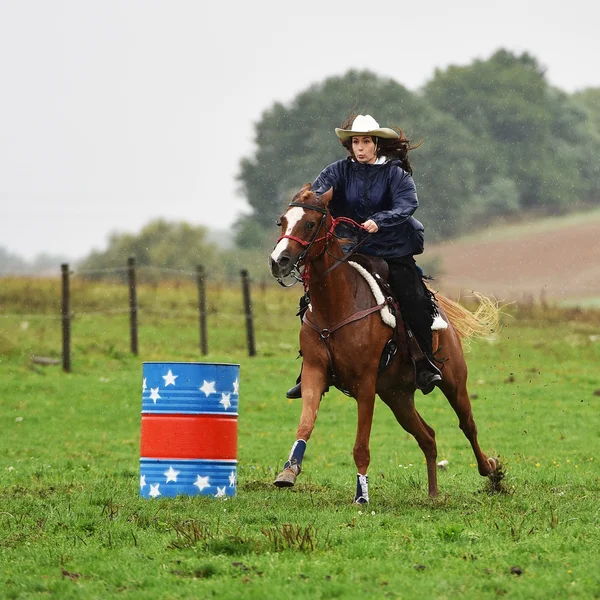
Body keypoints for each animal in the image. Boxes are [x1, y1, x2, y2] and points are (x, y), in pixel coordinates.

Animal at [268, 183, 502, 502]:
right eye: (283, 221)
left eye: (310, 223)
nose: (278, 262)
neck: (337, 305)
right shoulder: (315, 372)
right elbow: (305, 423)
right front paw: (288, 471)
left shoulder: (365, 384)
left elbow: (361, 446)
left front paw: (361, 494)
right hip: (397, 396)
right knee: (428, 437)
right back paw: (433, 494)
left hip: (453, 383)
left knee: (468, 425)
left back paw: (491, 471)